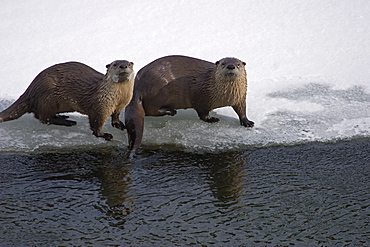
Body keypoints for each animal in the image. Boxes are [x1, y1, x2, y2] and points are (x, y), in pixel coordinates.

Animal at [0, 59, 135, 140]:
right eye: (115, 64)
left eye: (128, 64)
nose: (123, 66)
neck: (117, 98)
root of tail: (31, 89)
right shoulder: (100, 106)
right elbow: (96, 123)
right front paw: (104, 135)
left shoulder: (121, 104)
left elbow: (116, 115)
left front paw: (119, 124)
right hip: (47, 97)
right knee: (43, 117)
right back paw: (68, 122)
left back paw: (64, 117)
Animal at [124, 55, 254, 151]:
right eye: (223, 64)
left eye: (238, 64)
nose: (231, 66)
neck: (224, 97)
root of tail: (137, 85)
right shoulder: (202, 96)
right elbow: (202, 113)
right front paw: (212, 119)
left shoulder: (240, 97)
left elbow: (242, 110)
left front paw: (247, 122)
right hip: (159, 90)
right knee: (151, 110)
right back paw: (171, 111)